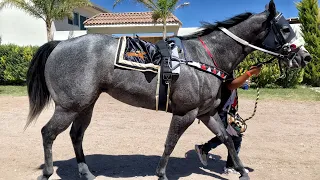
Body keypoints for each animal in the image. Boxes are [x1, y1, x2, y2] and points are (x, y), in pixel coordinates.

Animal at [26, 0, 312, 179]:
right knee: (48, 133)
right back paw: (48, 172)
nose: (305, 57)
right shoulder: (185, 113)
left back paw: (86, 172)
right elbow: (170, 143)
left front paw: (241, 172)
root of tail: (59, 45)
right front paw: (161, 174)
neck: (204, 57)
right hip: (69, 106)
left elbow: (228, 139)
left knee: (76, 135)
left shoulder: (206, 114)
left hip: (86, 105)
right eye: (285, 28)